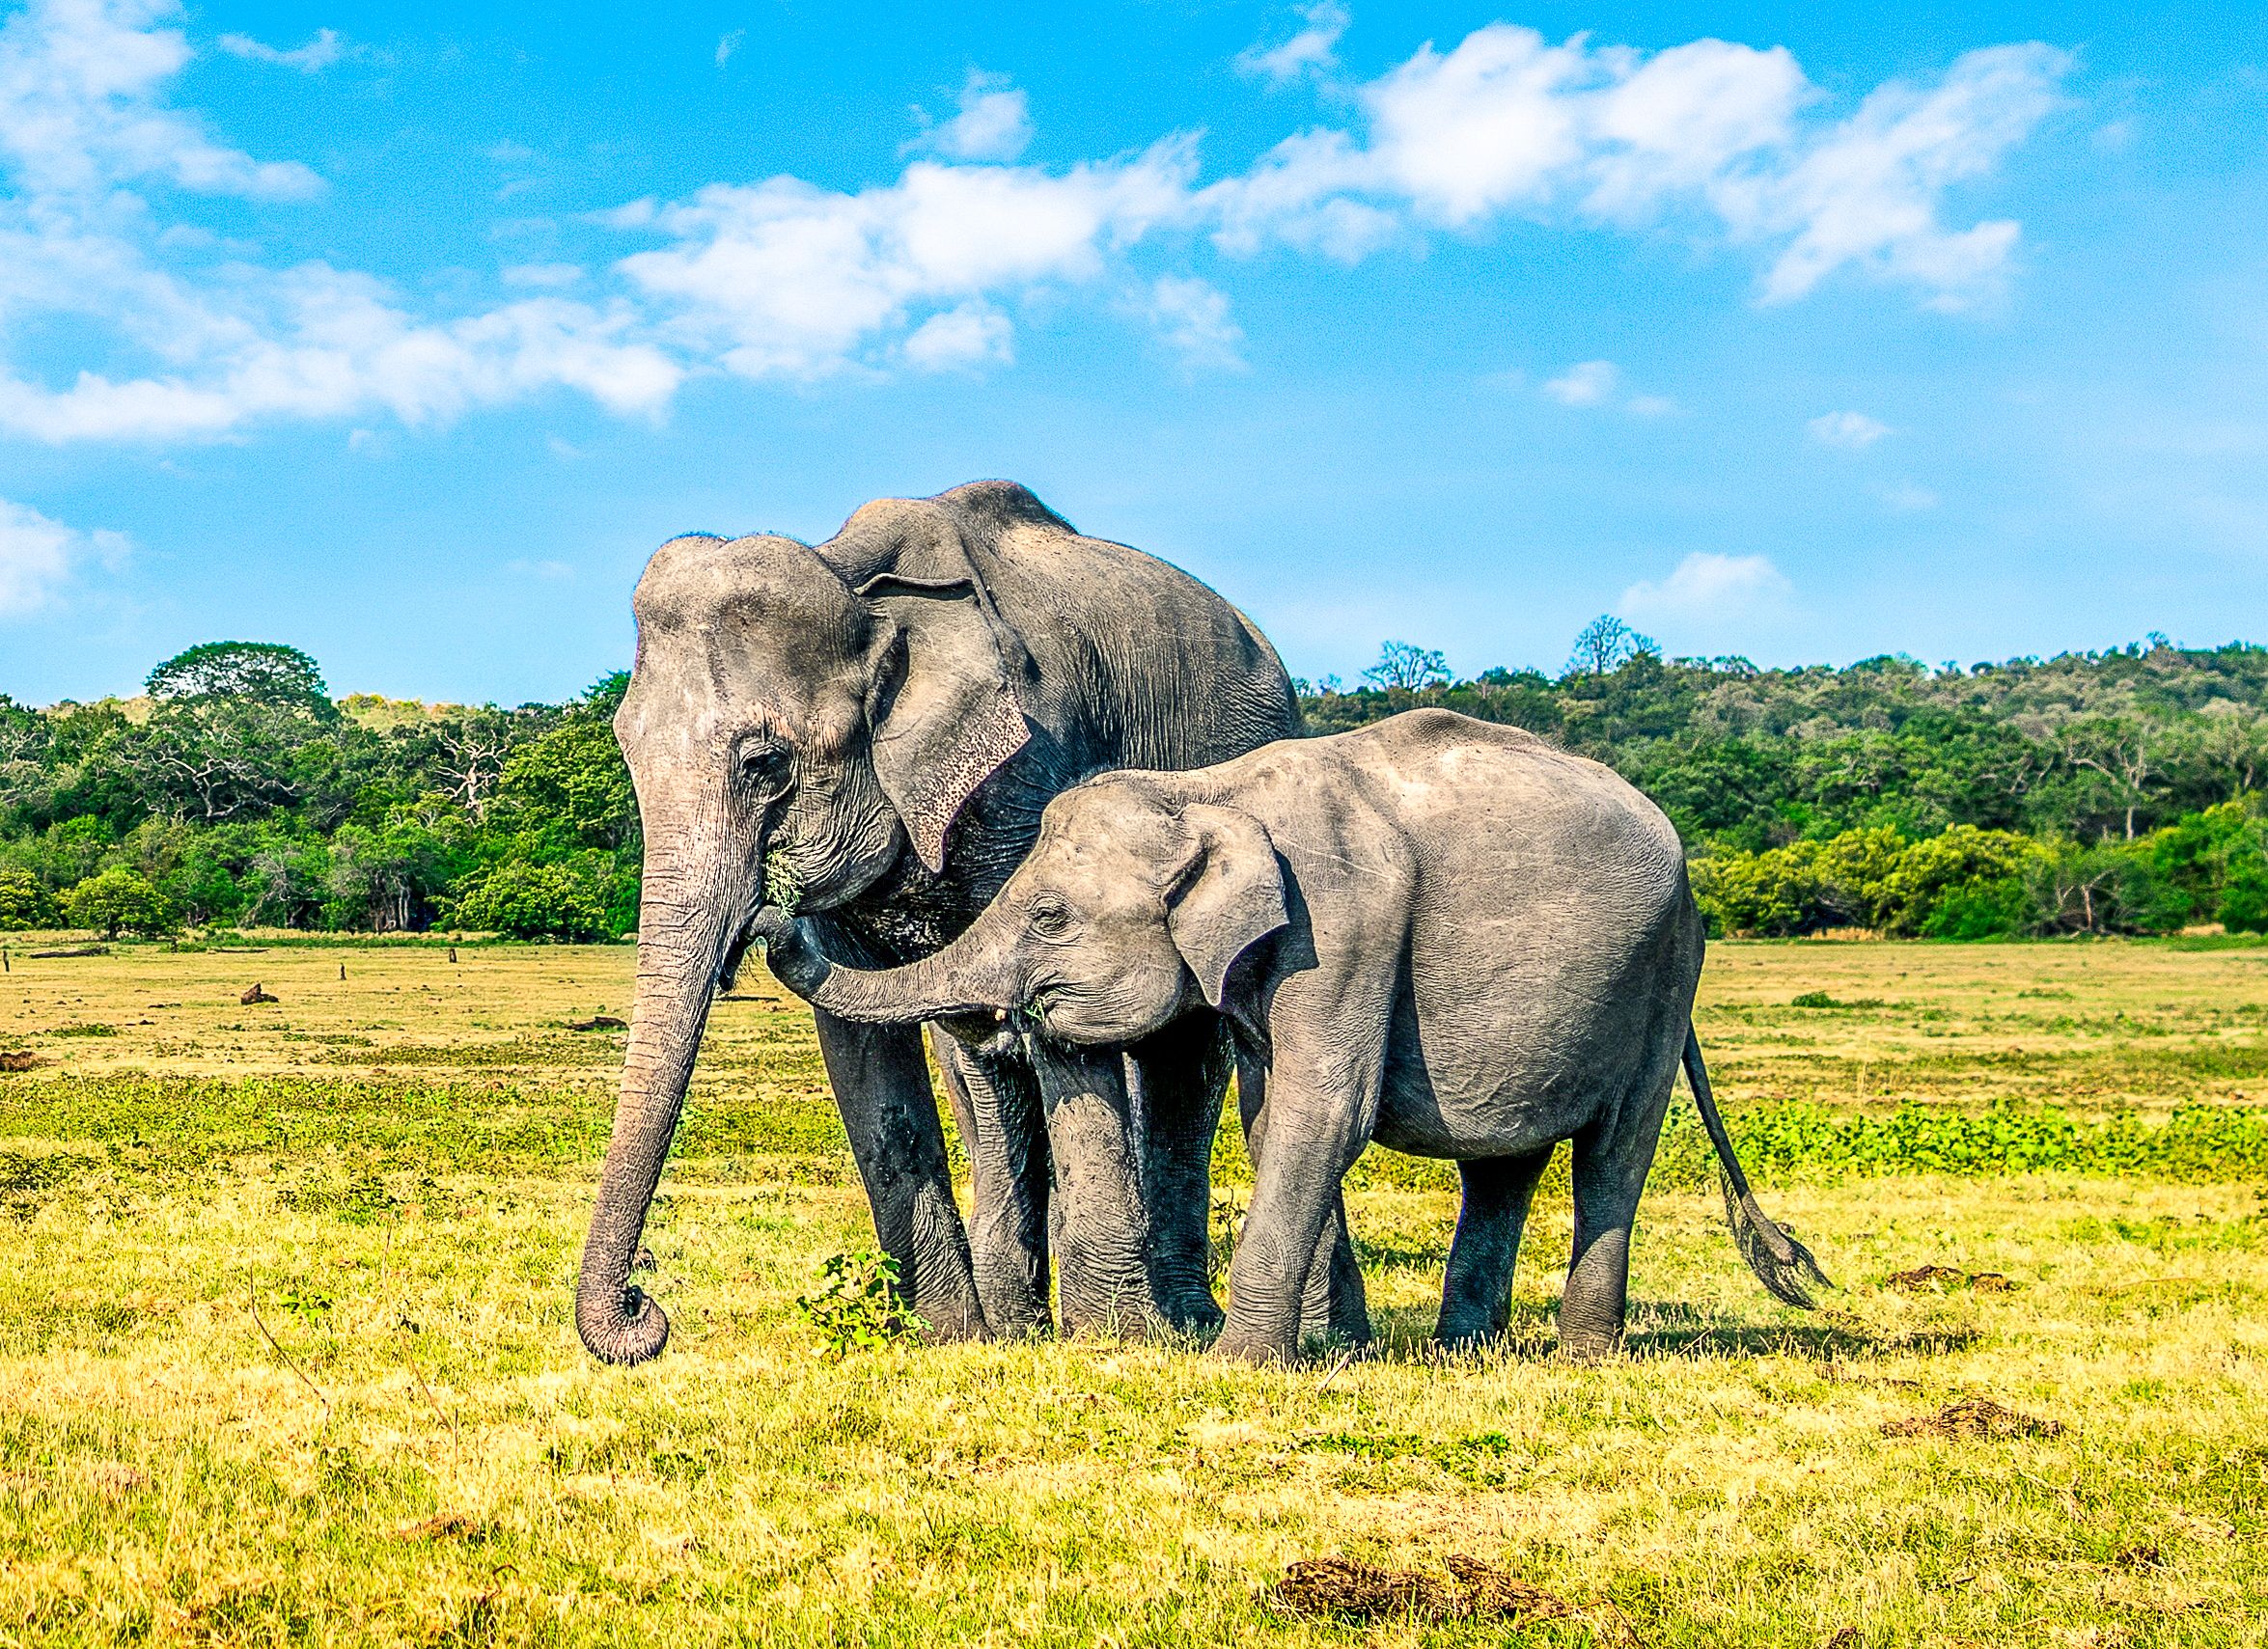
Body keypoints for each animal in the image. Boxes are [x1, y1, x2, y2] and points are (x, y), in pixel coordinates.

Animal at [576, 480, 1304, 1366]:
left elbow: (1060, 1019)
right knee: (984, 1069)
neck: (854, 580)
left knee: (1181, 1054)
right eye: (626, 752)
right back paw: (1017, 1321)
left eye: (765, 764)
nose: (644, 1305)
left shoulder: (1028, 770)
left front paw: (1114, 1341)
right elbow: (866, 1047)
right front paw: (952, 1337)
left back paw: (1181, 1324)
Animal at [756, 708, 1829, 1362]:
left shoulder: (1342, 926)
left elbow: (1326, 1114)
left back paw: (1579, 1355)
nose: (774, 906)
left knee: (1613, 1151)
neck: (1210, 789)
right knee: (1503, 1162)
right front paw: (1332, 1351)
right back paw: (1462, 1352)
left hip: (1662, 980)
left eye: (1051, 914)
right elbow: (1275, 1122)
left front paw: (1239, 1363)